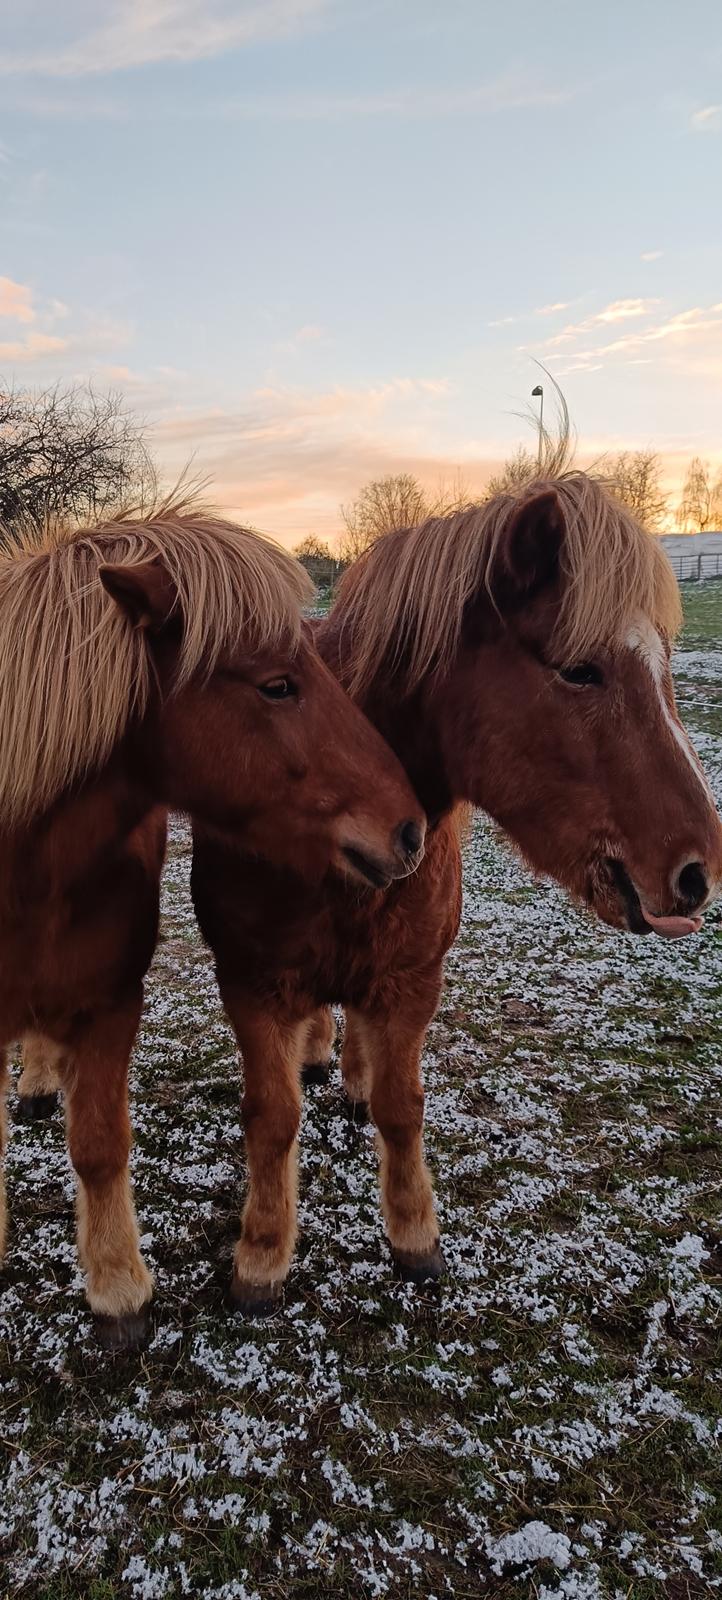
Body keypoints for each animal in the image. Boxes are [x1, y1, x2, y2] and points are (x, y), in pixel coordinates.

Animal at [182, 473, 722, 1312]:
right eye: (579, 670)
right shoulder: (250, 982)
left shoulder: (413, 980)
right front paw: (262, 1257)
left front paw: (414, 1236)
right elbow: (270, 1117)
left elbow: (403, 1107)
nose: (699, 871)